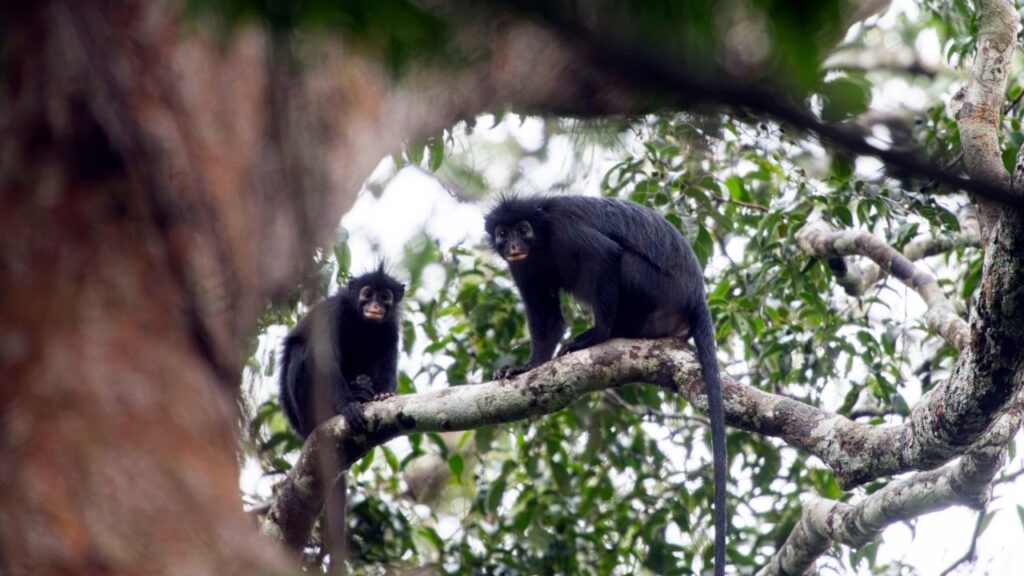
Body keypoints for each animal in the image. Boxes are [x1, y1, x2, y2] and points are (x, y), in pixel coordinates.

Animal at [278, 264, 404, 567]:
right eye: (367, 293)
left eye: (385, 296)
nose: (374, 306)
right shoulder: (332, 313)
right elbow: (324, 359)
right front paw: (347, 406)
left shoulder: (391, 327)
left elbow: (388, 358)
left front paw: (382, 395)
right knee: (302, 350)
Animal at [484, 194, 727, 576]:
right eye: (502, 233)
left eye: (523, 229)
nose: (513, 246)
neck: (542, 238)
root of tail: (695, 296)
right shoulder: (522, 268)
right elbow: (548, 318)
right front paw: (527, 367)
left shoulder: (566, 230)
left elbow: (605, 255)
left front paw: (596, 335)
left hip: (655, 289)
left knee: (621, 260)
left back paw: (610, 333)